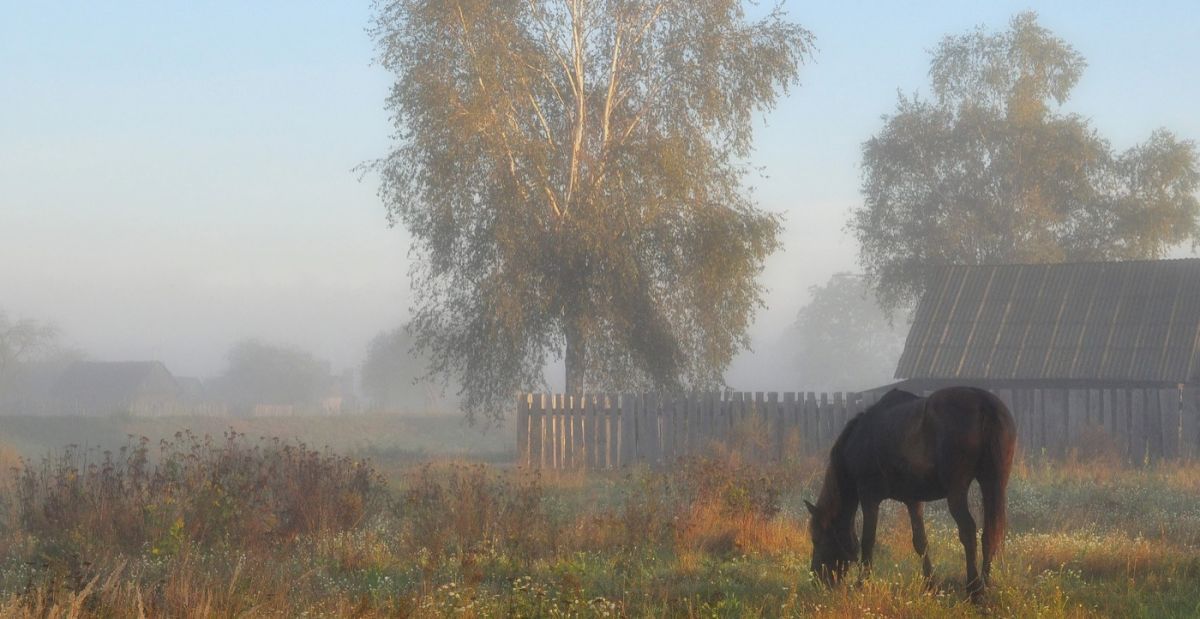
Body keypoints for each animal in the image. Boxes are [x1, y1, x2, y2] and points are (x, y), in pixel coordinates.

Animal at [806, 386, 1012, 595]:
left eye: (817, 538)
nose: (816, 581)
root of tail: (984, 402)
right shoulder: (913, 500)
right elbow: (921, 542)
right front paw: (930, 583)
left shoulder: (868, 497)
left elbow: (868, 541)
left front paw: (862, 583)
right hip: (993, 483)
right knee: (990, 534)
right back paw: (985, 584)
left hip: (957, 491)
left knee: (968, 531)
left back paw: (974, 589)